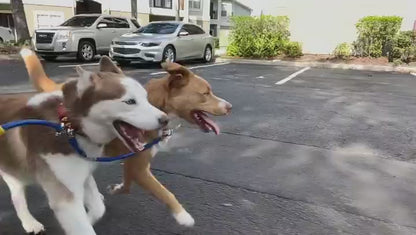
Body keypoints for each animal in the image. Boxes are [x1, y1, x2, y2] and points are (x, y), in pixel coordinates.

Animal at [2, 50, 167, 235]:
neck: (71, 127)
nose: (165, 120)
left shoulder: (83, 174)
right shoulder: (66, 199)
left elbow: (98, 207)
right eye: (130, 101)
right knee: (17, 195)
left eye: (146, 98)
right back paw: (30, 222)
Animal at [22, 50, 232, 228]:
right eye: (205, 93)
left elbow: (127, 185)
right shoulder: (139, 167)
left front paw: (116, 188)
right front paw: (183, 216)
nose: (229, 107)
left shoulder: (134, 164)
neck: (157, 106)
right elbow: (165, 193)